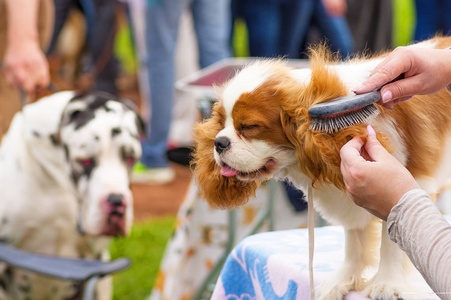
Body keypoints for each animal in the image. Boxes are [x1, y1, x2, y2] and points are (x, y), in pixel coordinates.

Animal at [192, 36, 451, 298]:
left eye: (248, 127)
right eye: (221, 122)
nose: (219, 143)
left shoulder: (410, 178)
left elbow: (391, 240)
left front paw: (387, 283)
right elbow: (354, 237)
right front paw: (344, 279)